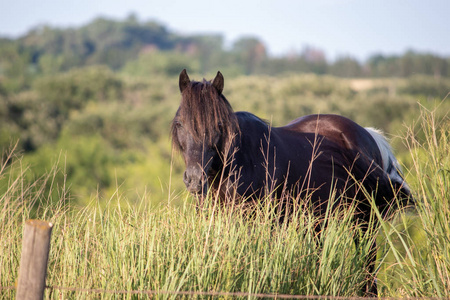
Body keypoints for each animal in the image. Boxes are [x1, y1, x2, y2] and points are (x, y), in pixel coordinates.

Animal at [171, 68, 414, 296]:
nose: (195, 179)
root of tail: (368, 135)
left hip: (365, 223)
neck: (239, 161)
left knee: (368, 265)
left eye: (219, 125)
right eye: (180, 123)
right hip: (319, 222)